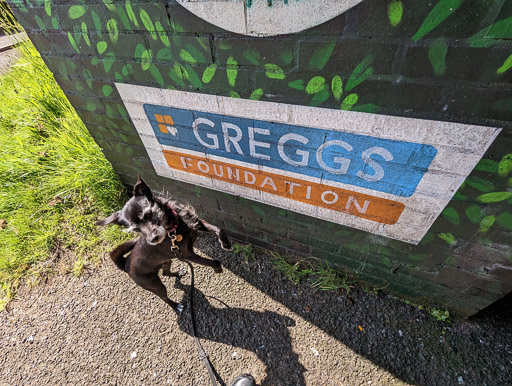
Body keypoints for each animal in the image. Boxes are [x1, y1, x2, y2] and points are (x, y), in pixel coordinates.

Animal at [96, 178, 232, 314]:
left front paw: (226, 243)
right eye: (135, 229)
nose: (152, 239)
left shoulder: (197, 224)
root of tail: (125, 264)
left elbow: (218, 229)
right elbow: (213, 261)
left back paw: (178, 274)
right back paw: (176, 306)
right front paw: (217, 268)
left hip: (166, 262)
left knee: (165, 273)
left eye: (147, 214)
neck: (173, 227)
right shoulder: (188, 255)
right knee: (164, 297)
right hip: (154, 284)